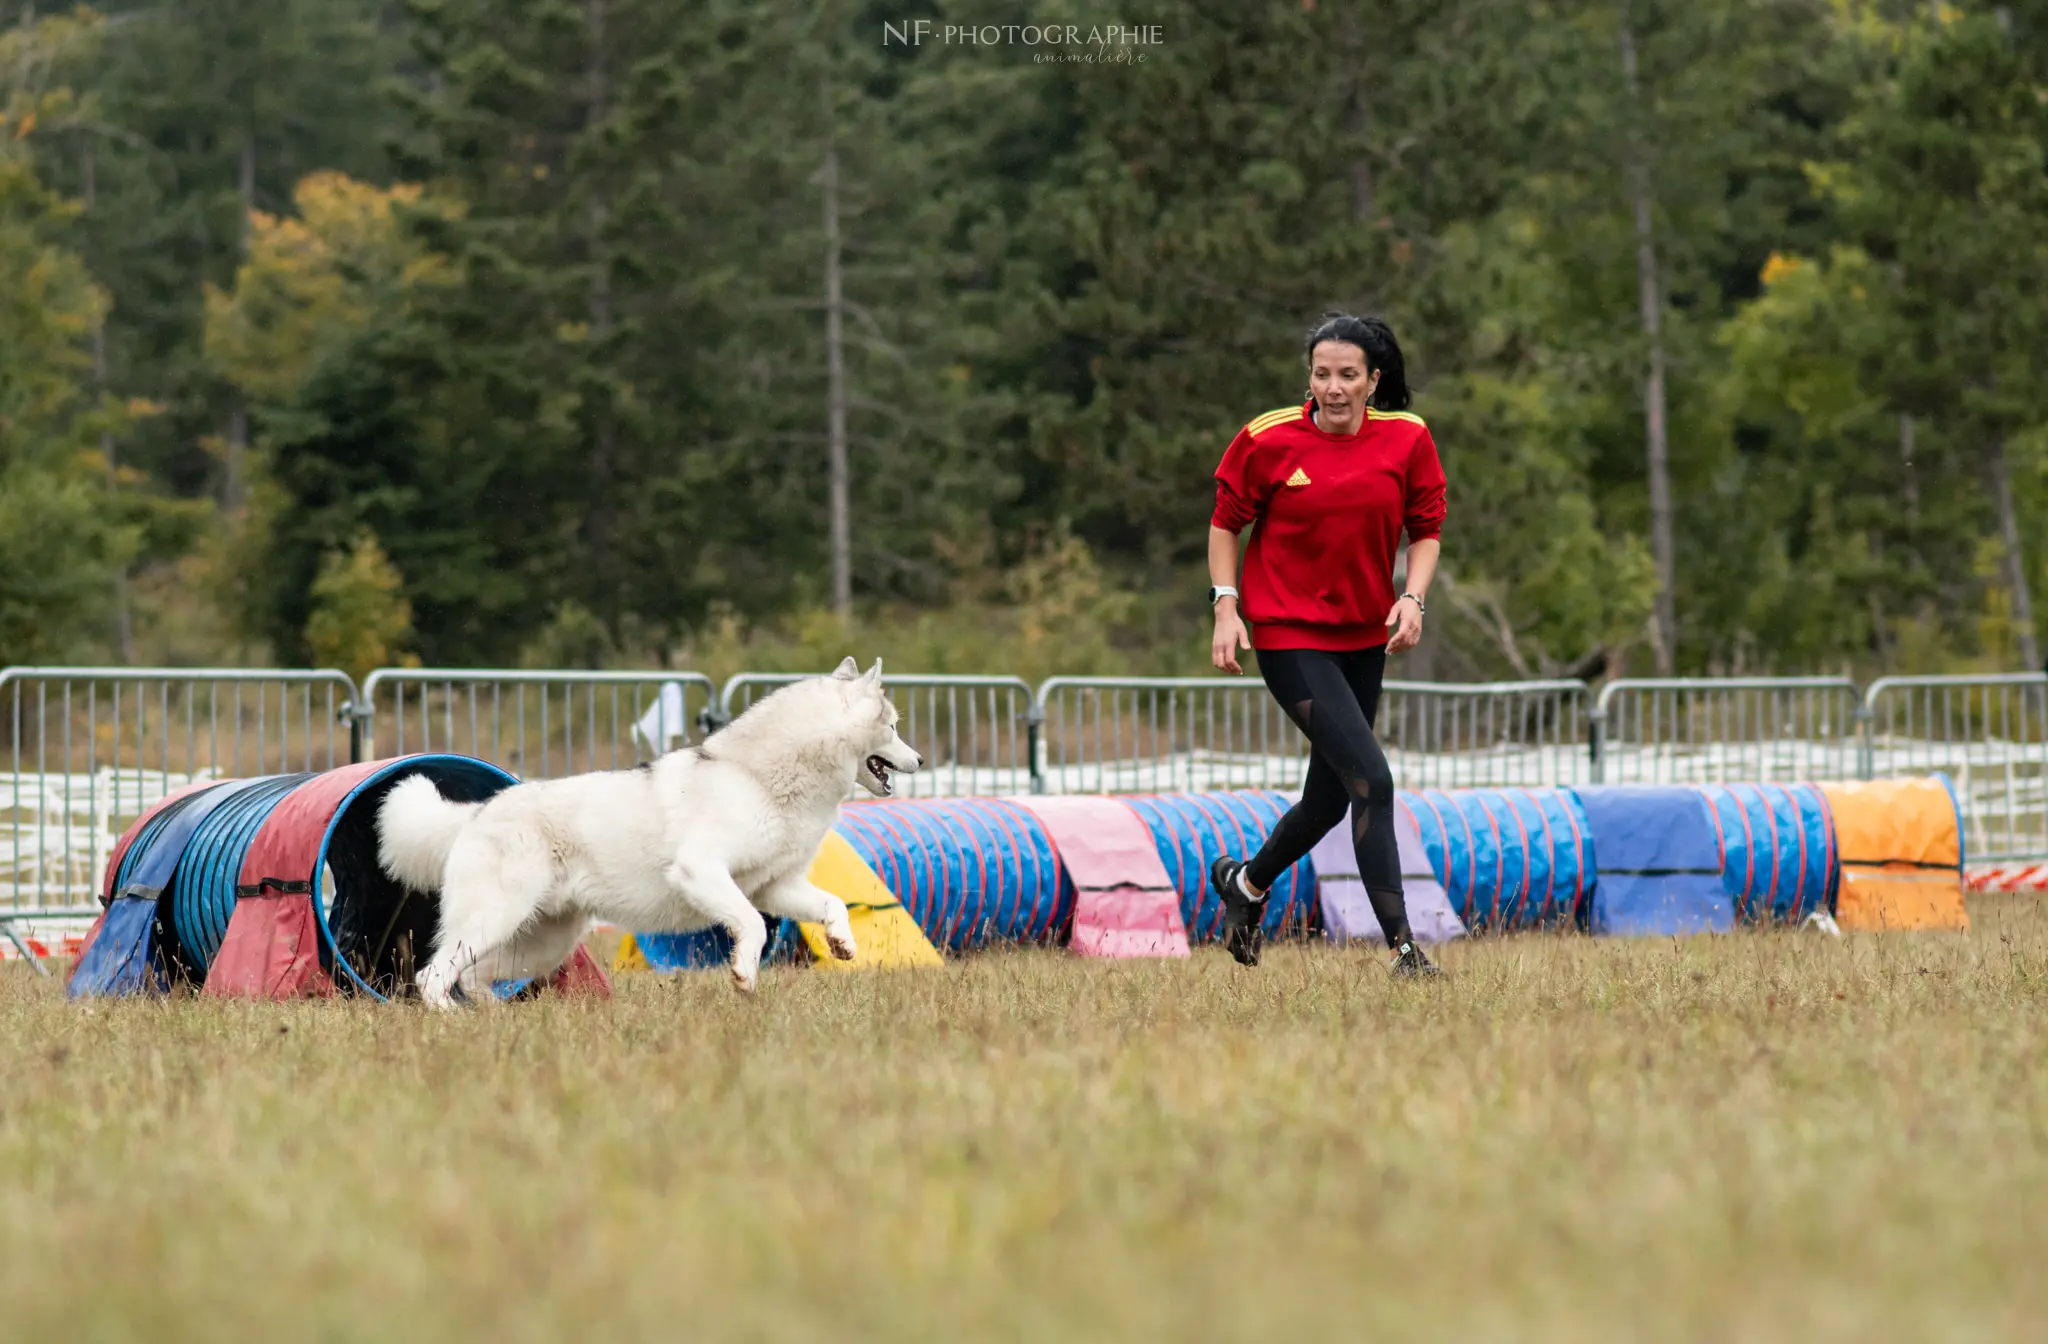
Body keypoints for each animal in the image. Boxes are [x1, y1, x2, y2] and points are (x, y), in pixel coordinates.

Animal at [380, 655, 925, 1003]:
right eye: (894, 726)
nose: (920, 760)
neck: (759, 778)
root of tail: (478, 811)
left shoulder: (777, 886)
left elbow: (833, 904)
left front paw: (842, 943)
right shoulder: (703, 872)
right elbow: (750, 924)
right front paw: (744, 975)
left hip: (540, 943)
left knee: (474, 980)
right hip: (491, 921)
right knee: (433, 978)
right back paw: (452, 1023)